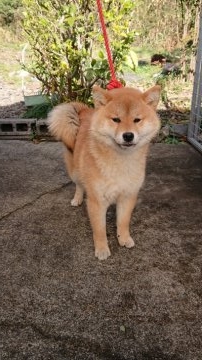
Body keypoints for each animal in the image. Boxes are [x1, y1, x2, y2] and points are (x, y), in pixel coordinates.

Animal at [47, 86, 161, 260]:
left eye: (137, 120)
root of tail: (85, 111)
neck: (121, 162)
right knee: (79, 185)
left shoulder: (128, 196)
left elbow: (123, 222)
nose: (128, 135)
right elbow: (99, 230)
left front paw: (124, 238)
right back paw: (77, 199)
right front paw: (101, 249)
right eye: (116, 119)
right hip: (75, 171)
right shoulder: (97, 201)